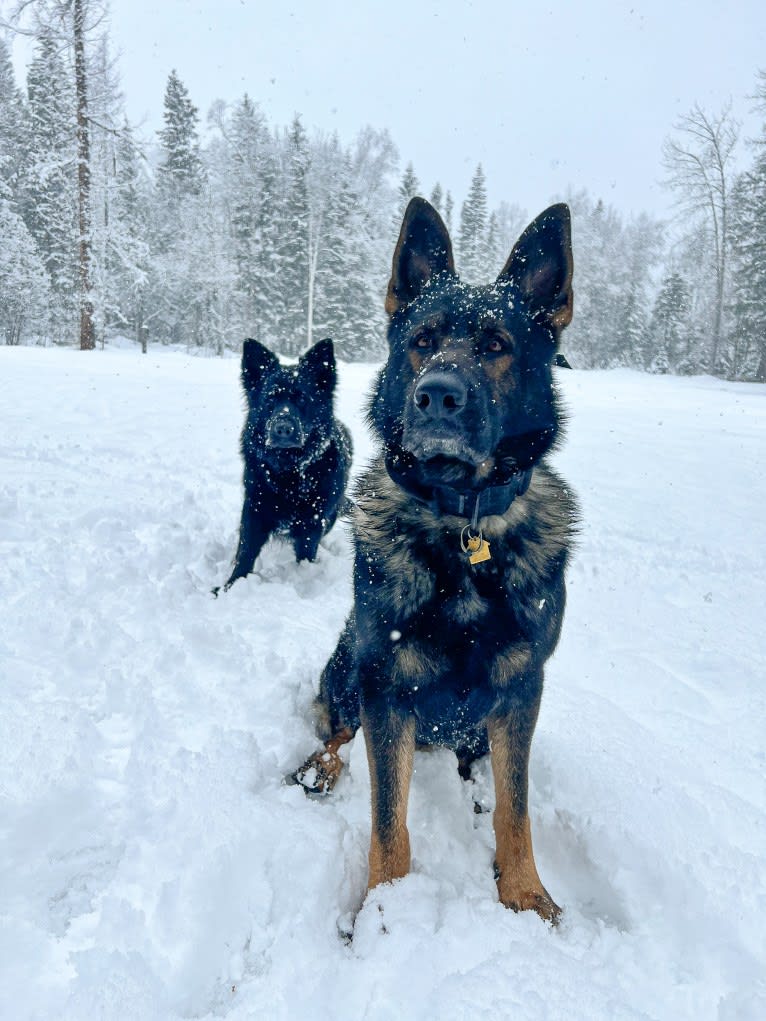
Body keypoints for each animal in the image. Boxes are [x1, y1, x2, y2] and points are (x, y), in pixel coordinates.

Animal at [216, 334, 353, 592]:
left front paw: (303, 577)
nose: (282, 429)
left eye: (302, 399)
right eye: (270, 398)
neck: (289, 470)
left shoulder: (314, 518)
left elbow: (306, 552)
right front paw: (230, 586)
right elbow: (245, 552)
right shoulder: (255, 509)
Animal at [292, 195, 576, 922]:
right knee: (337, 733)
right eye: (422, 340)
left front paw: (525, 892)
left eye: (496, 345)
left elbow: (516, 807)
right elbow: (388, 818)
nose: (438, 394)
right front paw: (387, 913)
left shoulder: (523, 684)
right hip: (349, 663)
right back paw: (319, 767)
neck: (463, 524)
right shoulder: (386, 683)